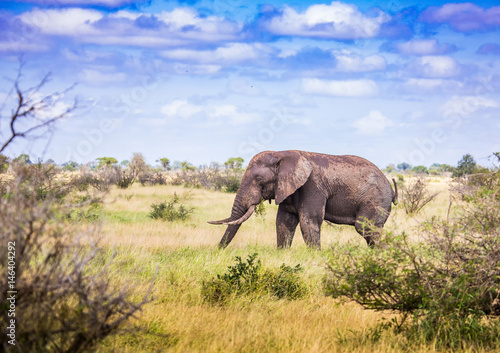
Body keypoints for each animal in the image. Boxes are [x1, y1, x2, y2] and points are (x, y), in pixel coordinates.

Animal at [208, 150, 398, 249]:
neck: (281, 154)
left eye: (259, 180)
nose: (218, 251)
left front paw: (315, 256)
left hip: (376, 199)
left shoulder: (313, 186)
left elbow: (309, 220)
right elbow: (283, 222)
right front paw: (282, 254)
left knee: (365, 228)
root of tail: (391, 187)